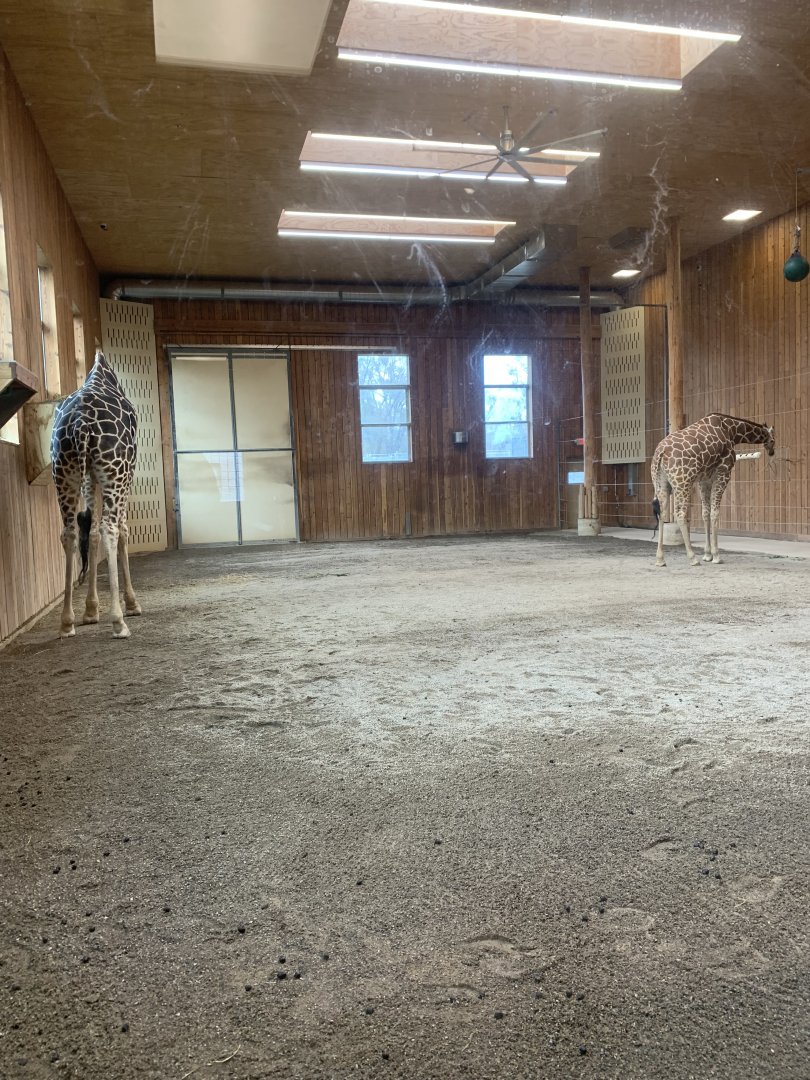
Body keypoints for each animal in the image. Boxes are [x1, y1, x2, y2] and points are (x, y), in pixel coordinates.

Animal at [51, 348, 140, 638]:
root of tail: (81, 423)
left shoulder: (89, 476)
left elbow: (89, 533)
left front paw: (90, 610)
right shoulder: (126, 473)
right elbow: (122, 530)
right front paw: (131, 605)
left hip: (64, 473)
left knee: (70, 532)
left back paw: (66, 622)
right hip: (115, 471)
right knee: (109, 527)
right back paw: (119, 622)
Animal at [651, 413, 775, 568]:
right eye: (773, 439)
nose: (772, 451)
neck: (732, 431)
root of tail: (660, 453)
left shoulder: (703, 480)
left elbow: (705, 513)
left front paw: (707, 555)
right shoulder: (723, 473)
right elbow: (715, 513)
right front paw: (716, 556)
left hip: (662, 485)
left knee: (661, 514)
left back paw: (660, 559)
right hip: (683, 482)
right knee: (680, 514)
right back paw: (692, 558)